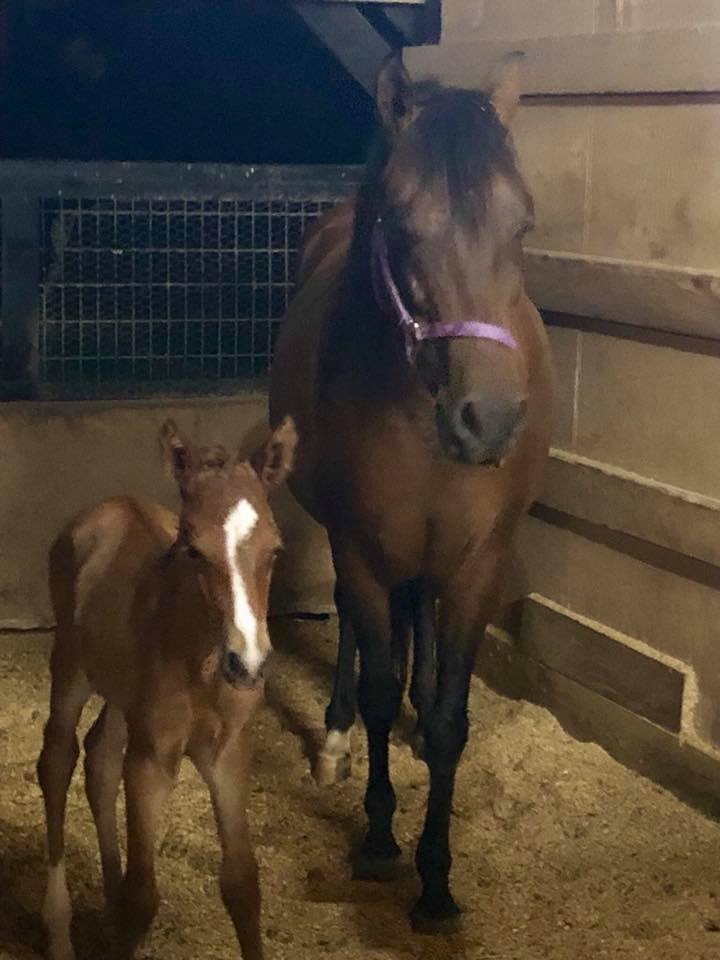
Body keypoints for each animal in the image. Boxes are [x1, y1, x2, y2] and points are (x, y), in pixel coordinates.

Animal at [36, 417, 297, 960]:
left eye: (275, 549)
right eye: (193, 549)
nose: (248, 663)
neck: (199, 665)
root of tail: (107, 505)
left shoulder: (227, 754)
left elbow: (242, 883)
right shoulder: (152, 760)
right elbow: (143, 896)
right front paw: (120, 915)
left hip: (120, 692)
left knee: (100, 754)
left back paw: (106, 899)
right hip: (70, 666)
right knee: (58, 757)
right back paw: (59, 928)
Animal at [269, 52, 555, 929]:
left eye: (522, 224)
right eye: (399, 225)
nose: (487, 420)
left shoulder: (479, 564)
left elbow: (453, 716)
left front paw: (436, 876)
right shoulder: (362, 548)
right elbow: (374, 681)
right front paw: (378, 839)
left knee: (418, 620)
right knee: (365, 642)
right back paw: (334, 740)